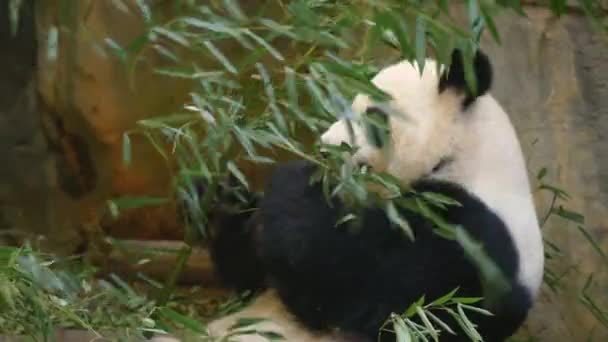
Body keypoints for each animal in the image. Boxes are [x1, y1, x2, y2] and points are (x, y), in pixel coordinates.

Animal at [202, 48, 544, 342]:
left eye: (372, 114)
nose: (325, 149)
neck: (457, 157)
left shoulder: (469, 240)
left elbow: (370, 296)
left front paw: (293, 185)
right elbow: (253, 275)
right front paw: (231, 201)